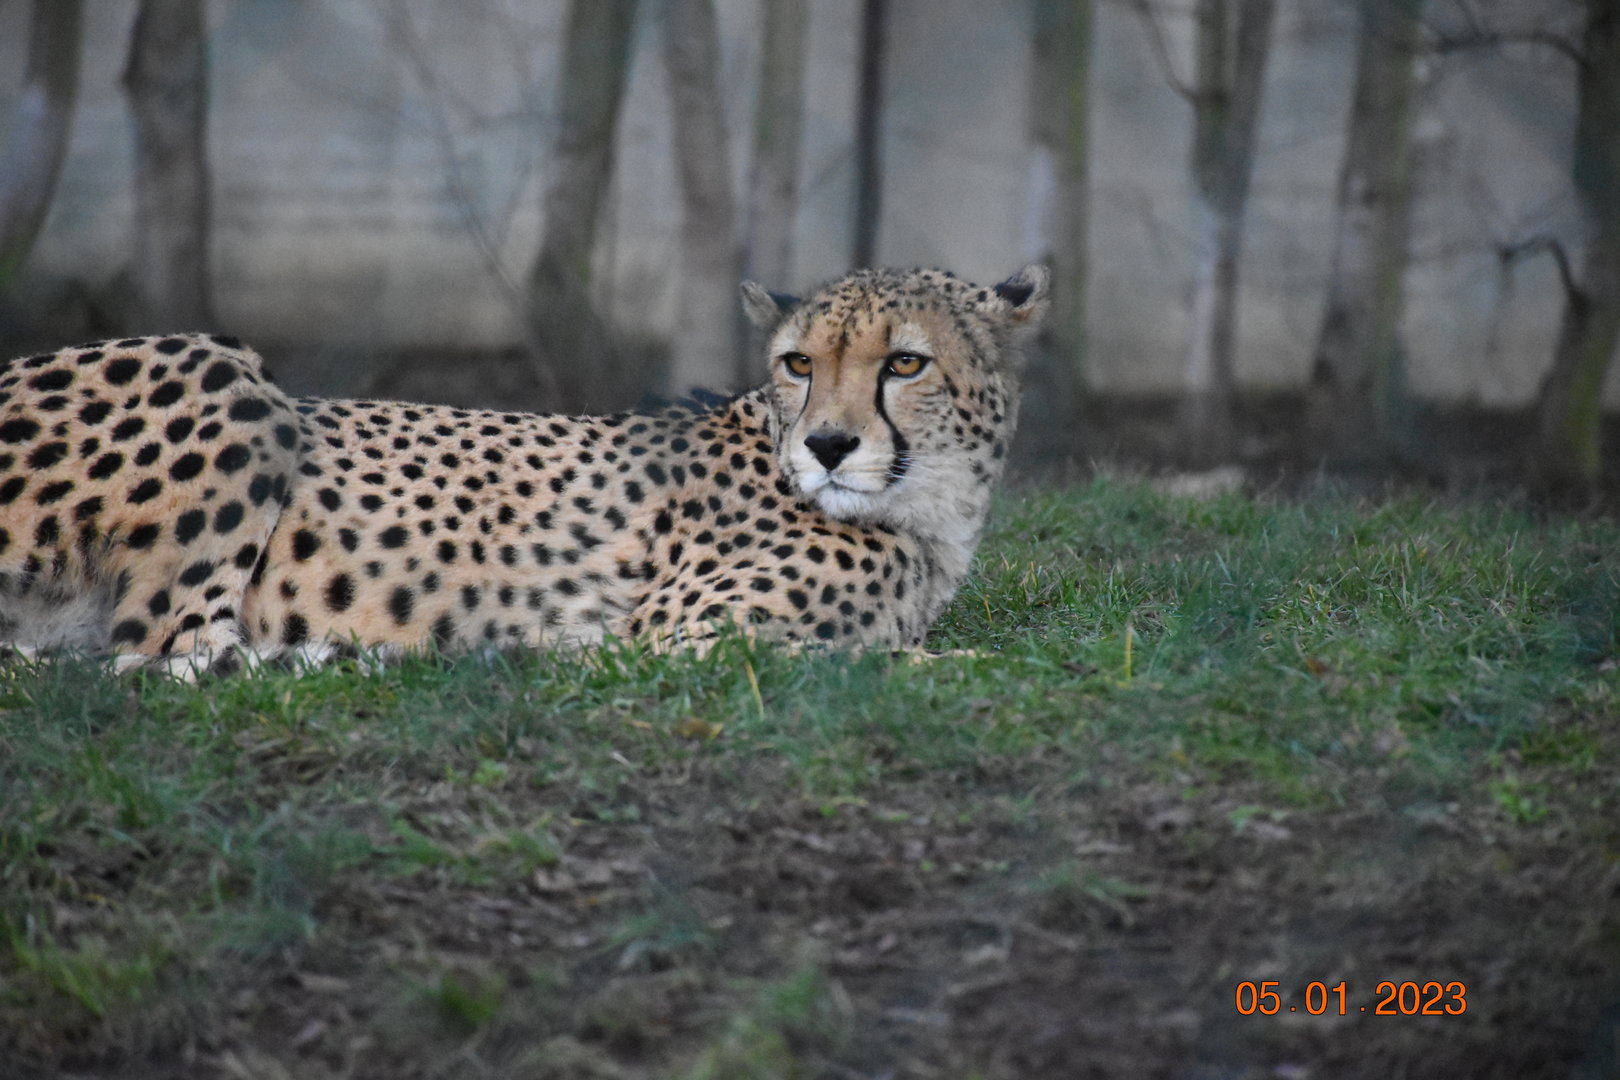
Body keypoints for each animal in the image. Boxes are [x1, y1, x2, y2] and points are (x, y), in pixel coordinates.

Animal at [0, 264, 1048, 674]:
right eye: (800, 364)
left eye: (903, 364)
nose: (827, 446)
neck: (927, 515)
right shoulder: (680, 638)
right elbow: (871, 658)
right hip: (223, 367)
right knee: (165, 655)